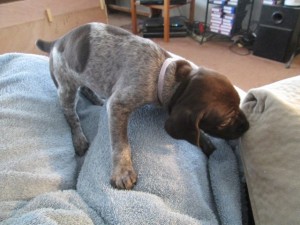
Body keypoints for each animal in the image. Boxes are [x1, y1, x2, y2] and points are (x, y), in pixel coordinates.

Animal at [36, 22, 250, 190]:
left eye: (240, 103)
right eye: (225, 122)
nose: (247, 126)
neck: (168, 75)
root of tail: (56, 41)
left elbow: (195, 131)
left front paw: (204, 140)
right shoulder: (119, 104)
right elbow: (121, 143)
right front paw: (122, 171)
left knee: (87, 88)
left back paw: (97, 99)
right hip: (65, 87)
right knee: (71, 115)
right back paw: (79, 138)